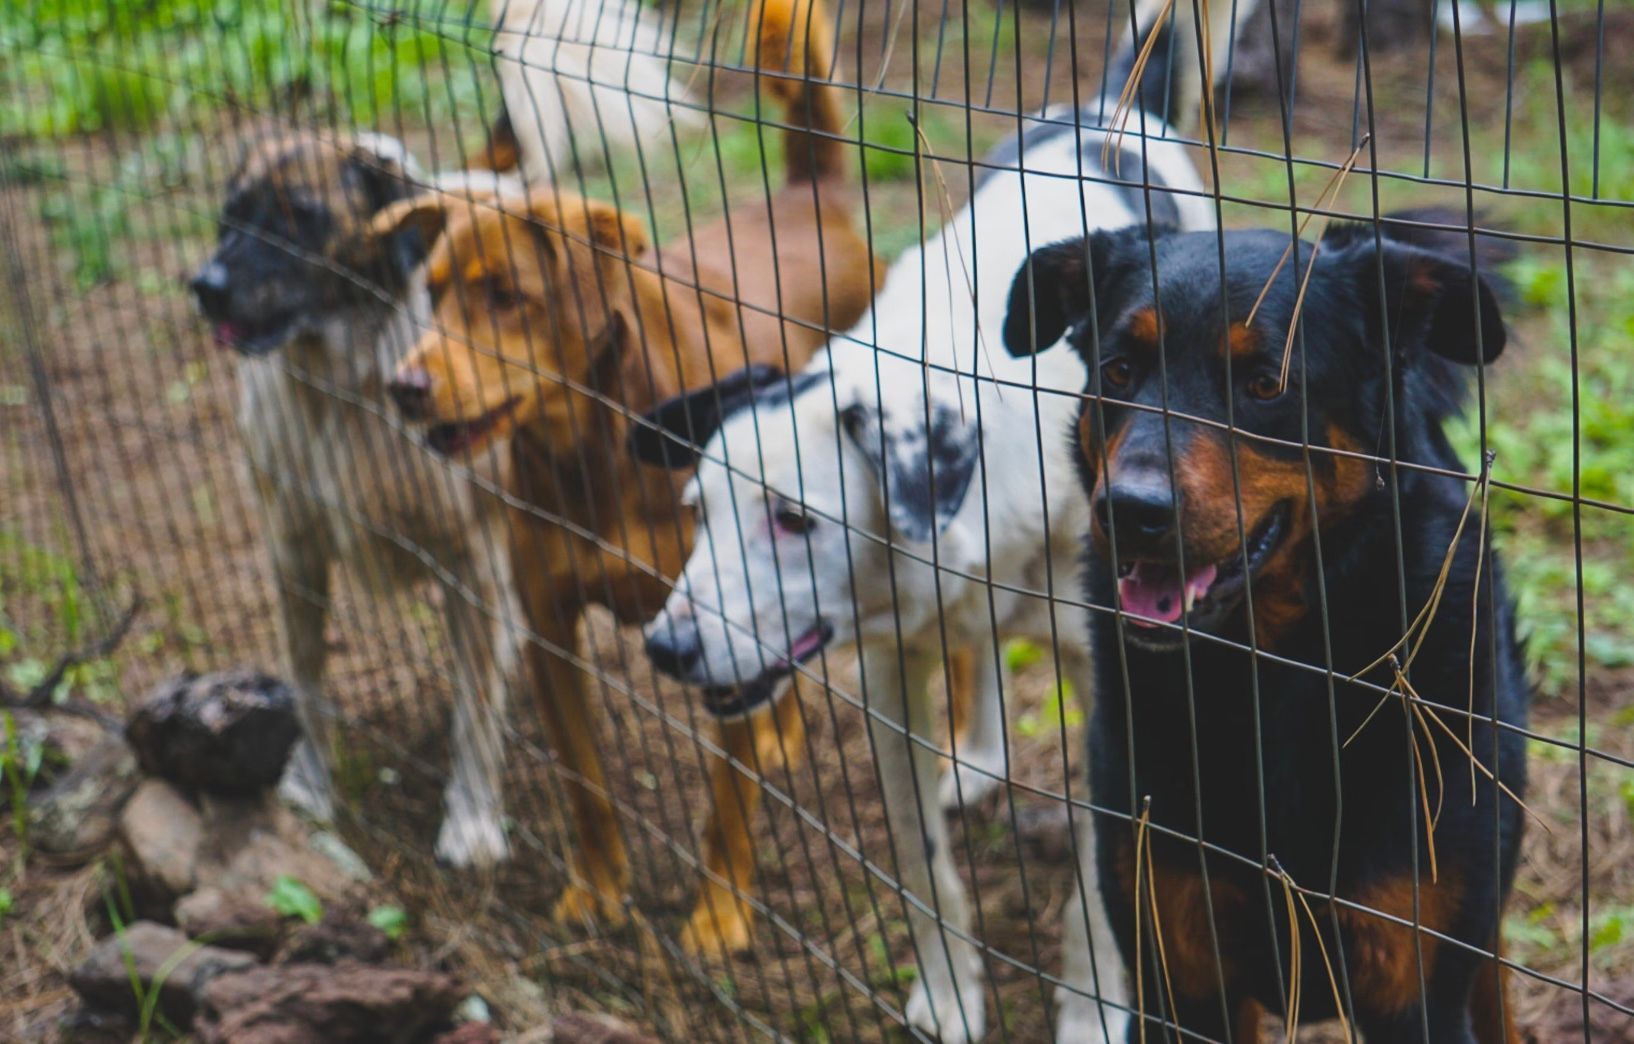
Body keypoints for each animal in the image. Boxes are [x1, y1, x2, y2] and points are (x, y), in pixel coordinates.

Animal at [370, 0, 882, 954]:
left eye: (506, 295)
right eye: (433, 291)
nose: (405, 385)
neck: (595, 453)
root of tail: (811, 196)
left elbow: (726, 804)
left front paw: (719, 915)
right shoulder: (548, 629)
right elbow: (588, 786)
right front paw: (597, 893)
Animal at [1000, 187, 1522, 1044]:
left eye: (1266, 385)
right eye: (1118, 369)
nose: (1130, 511)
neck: (1265, 671)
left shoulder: (1417, 991)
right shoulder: (1177, 974)